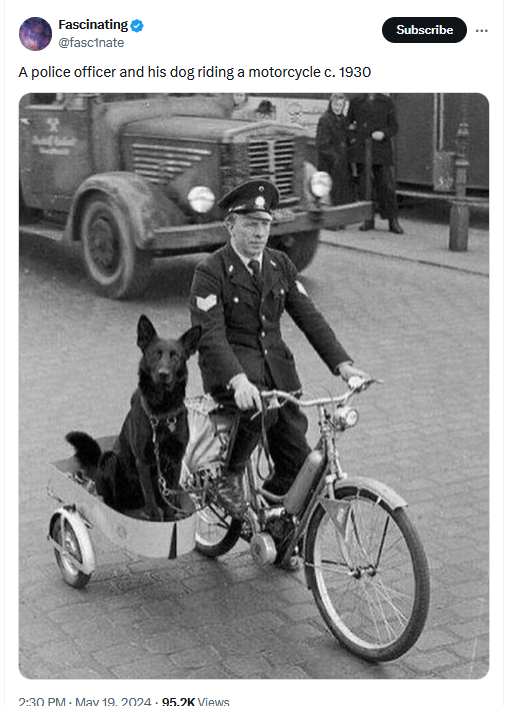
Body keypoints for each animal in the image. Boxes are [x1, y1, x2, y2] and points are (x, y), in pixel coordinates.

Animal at [65, 314, 201, 516]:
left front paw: (171, 516)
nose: (163, 374)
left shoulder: (176, 461)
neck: (161, 412)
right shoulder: (142, 462)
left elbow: (170, 500)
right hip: (110, 460)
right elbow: (152, 504)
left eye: (175, 356)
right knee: (112, 503)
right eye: (155, 354)